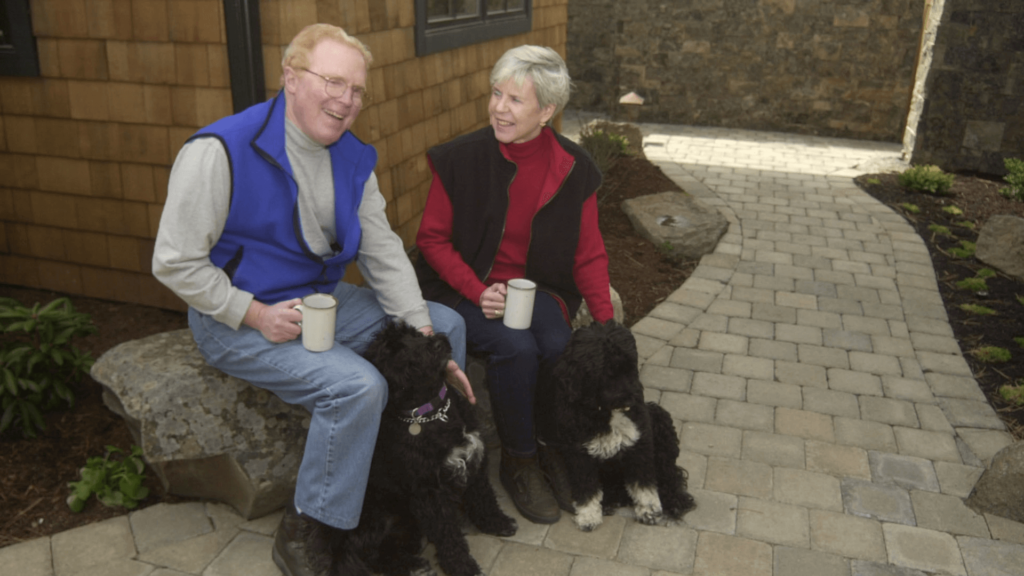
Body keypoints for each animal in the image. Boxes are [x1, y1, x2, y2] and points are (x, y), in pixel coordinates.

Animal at [303, 319, 512, 569]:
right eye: (396, 351)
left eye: (414, 334)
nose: (438, 343)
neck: (432, 413)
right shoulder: (429, 491)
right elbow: (447, 533)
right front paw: (462, 565)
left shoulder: (474, 461)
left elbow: (484, 498)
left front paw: (497, 523)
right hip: (383, 515)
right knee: (367, 556)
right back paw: (413, 566)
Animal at [544, 317, 696, 528]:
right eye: (606, 372)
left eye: (629, 367)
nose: (632, 397)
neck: (605, 412)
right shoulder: (579, 453)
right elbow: (586, 485)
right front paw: (588, 515)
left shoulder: (639, 442)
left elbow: (643, 482)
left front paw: (649, 510)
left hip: (660, 419)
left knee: (670, 474)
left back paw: (675, 500)